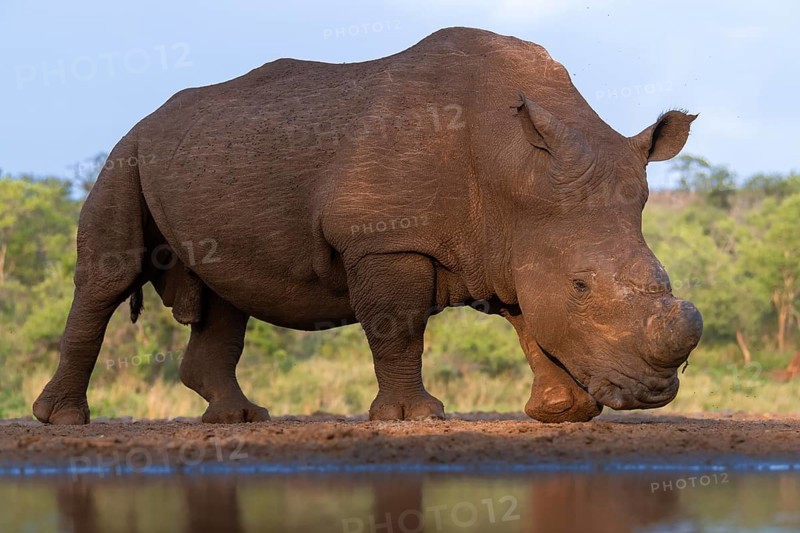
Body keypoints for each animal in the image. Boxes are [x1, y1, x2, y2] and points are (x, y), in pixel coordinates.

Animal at [33, 27, 702, 425]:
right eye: (582, 286)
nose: (653, 393)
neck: (515, 171)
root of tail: (151, 116)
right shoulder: (384, 238)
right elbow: (398, 326)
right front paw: (415, 417)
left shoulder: (516, 239)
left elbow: (528, 320)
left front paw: (562, 412)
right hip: (126, 152)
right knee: (107, 279)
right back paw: (64, 421)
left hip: (197, 156)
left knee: (224, 291)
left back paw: (240, 420)